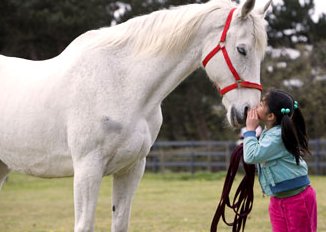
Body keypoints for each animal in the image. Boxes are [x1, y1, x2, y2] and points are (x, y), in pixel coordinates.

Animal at [0, 0, 270, 231]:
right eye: (242, 50)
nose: (247, 111)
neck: (122, 83)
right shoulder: (87, 168)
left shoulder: (131, 168)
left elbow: (120, 223)